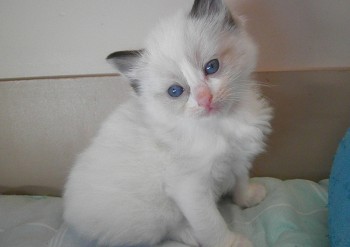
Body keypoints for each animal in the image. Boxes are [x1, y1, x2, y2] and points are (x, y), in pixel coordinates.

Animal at [63, 0, 270, 247]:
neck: (224, 122)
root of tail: (69, 212)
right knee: (164, 232)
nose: (205, 99)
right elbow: (211, 224)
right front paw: (231, 242)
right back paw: (190, 234)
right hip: (152, 214)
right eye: (175, 91)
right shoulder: (190, 187)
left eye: (211, 67)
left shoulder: (239, 156)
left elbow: (240, 179)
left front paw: (246, 198)